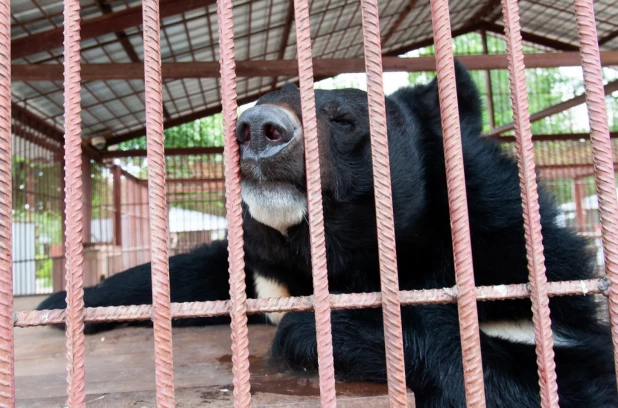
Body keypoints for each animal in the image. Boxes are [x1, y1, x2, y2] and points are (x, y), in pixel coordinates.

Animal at [38, 62, 616, 406]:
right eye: (248, 110)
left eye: (342, 119)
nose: (258, 129)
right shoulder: (260, 273)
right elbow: (201, 273)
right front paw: (62, 304)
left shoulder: (504, 250)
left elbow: (565, 374)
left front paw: (323, 332)